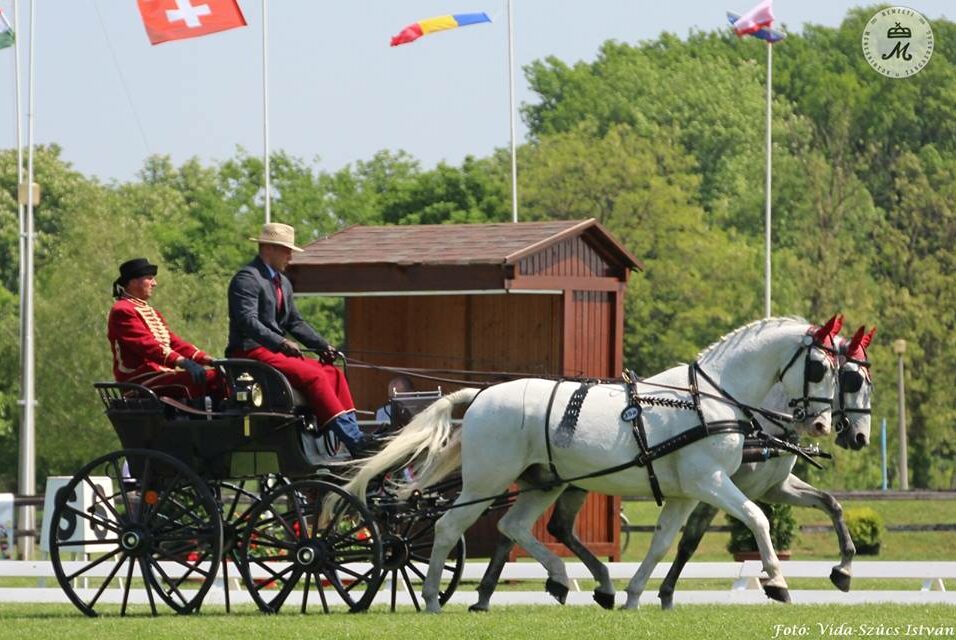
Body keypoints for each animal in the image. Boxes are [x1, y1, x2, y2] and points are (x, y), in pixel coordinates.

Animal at [348, 318, 840, 612]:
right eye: (820, 368)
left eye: (842, 373)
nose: (820, 423)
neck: (708, 400)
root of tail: (482, 395)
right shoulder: (712, 480)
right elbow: (757, 518)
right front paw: (777, 581)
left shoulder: (686, 492)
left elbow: (662, 543)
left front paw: (633, 596)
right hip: (486, 480)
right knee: (450, 528)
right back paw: (432, 598)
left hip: (543, 483)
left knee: (514, 526)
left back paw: (567, 579)